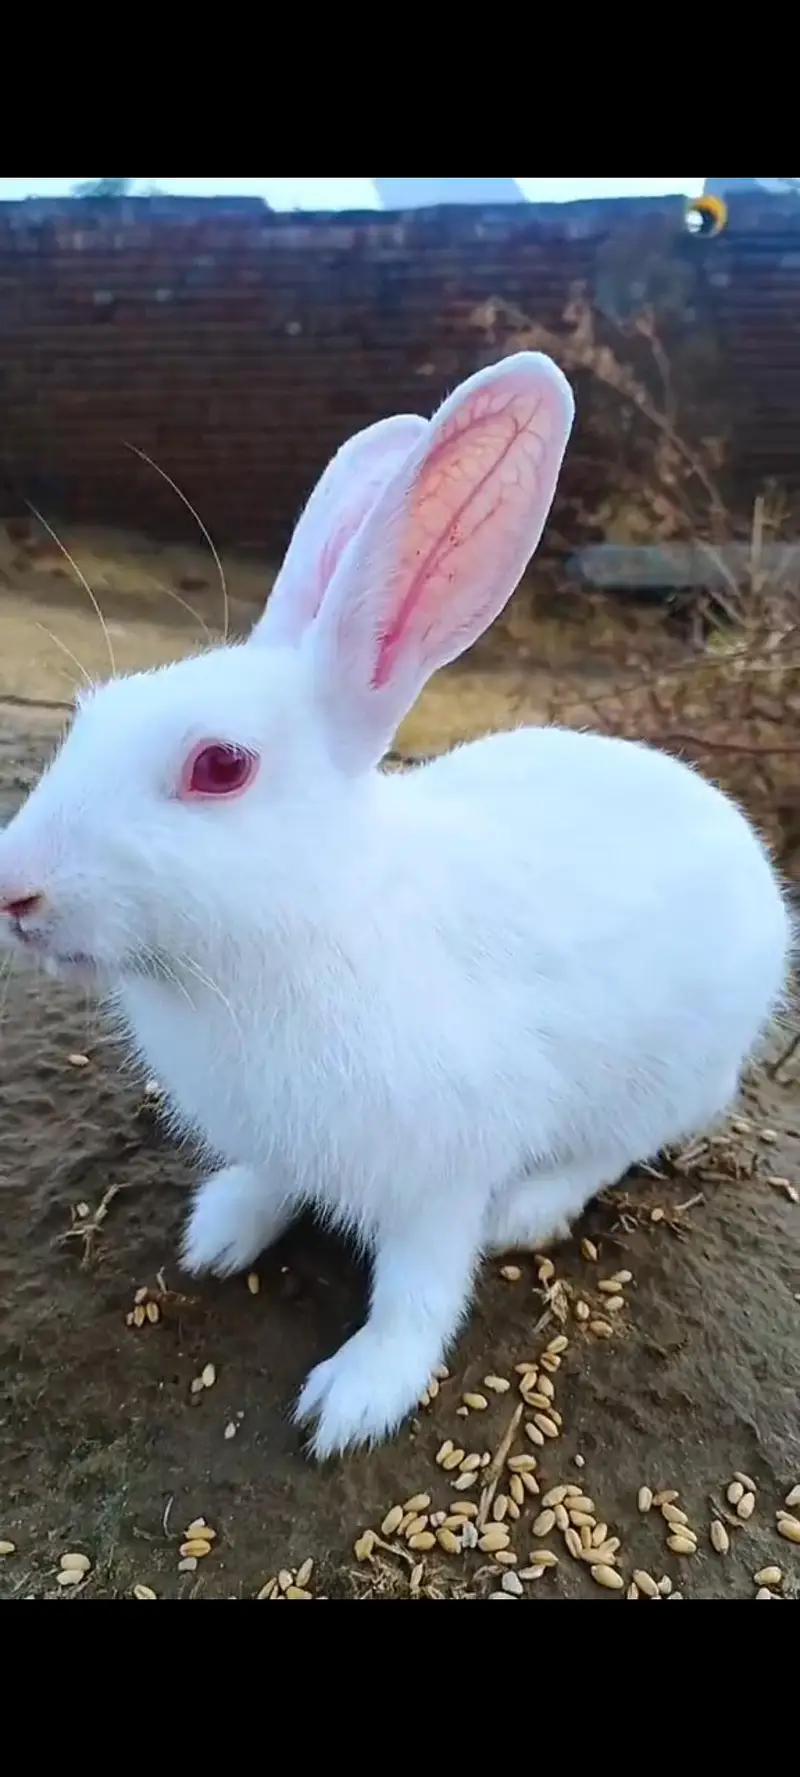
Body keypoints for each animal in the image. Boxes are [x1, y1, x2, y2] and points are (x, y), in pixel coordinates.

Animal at [0, 351, 792, 1461]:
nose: (13, 888)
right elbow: (267, 1179)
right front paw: (220, 1232)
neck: (308, 922)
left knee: (623, 1142)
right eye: (91, 715)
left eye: (220, 767)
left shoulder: (440, 1176)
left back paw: (531, 1208)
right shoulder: (281, 1135)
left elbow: (420, 1289)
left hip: (671, 1072)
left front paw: (355, 1398)